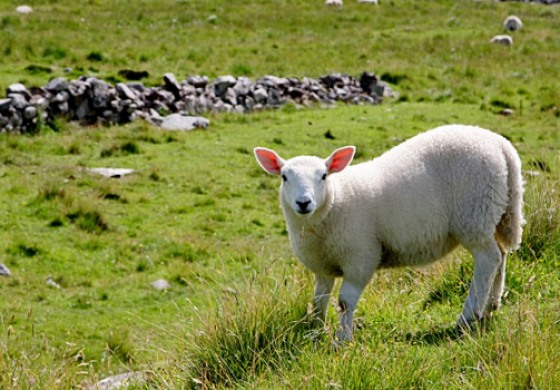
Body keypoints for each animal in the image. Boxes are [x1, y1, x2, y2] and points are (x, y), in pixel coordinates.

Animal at [254, 125, 524, 342]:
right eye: (284, 177)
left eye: (323, 176)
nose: (303, 202)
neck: (336, 201)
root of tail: (501, 145)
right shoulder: (322, 265)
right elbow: (319, 300)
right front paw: (315, 331)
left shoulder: (361, 257)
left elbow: (344, 302)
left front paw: (342, 340)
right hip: (494, 214)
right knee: (500, 256)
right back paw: (491, 306)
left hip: (474, 215)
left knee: (488, 260)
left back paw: (468, 317)